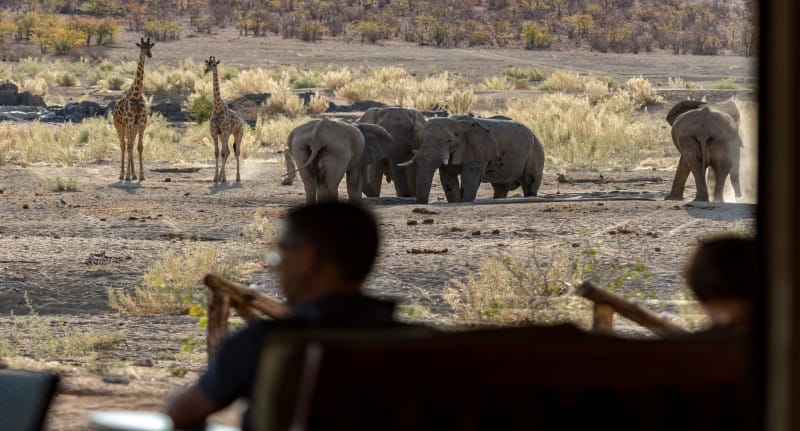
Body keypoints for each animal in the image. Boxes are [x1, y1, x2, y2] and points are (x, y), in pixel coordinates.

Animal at [114, 37, 155, 184]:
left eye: (150, 47)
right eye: (141, 47)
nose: (149, 55)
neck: (136, 95)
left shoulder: (141, 123)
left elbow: (139, 147)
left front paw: (141, 176)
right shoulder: (130, 122)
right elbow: (130, 146)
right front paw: (127, 176)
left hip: (133, 127)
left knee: (129, 144)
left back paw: (133, 175)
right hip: (119, 125)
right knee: (124, 145)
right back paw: (122, 175)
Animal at [205, 56, 245, 184]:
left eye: (214, 64)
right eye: (207, 64)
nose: (206, 70)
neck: (218, 107)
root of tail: (241, 122)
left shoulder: (224, 131)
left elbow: (222, 153)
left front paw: (220, 178)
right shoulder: (215, 132)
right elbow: (217, 153)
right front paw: (215, 178)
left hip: (238, 133)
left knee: (237, 152)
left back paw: (237, 177)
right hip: (226, 135)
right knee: (228, 151)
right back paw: (223, 177)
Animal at [398, 117, 544, 205]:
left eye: (449, 141)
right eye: (420, 140)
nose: (423, 203)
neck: (458, 123)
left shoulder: (478, 150)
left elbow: (470, 179)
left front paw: (463, 202)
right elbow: (448, 179)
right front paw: (454, 202)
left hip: (536, 153)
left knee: (530, 183)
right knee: (500, 188)